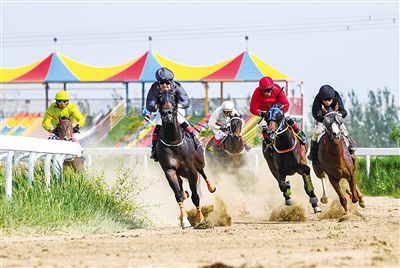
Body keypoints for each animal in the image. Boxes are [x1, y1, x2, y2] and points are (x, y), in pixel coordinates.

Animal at [156, 89, 217, 228]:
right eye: (160, 99)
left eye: (173, 98)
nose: (166, 113)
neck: (173, 142)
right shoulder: (170, 171)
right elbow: (178, 194)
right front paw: (184, 219)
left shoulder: (191, 170)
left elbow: (196, 196)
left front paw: (200, 218)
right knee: (181, 186)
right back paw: (185, 194)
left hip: (199, 162)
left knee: (203, 173)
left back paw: (211, 187)